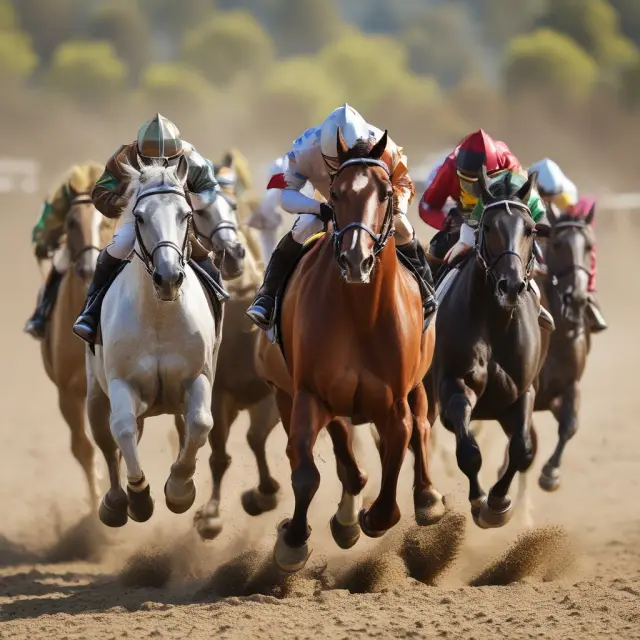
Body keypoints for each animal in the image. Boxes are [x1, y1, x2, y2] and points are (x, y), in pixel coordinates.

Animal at [86, 157, 222, 527]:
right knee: (107, 442)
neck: (159, 316)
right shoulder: (122, 382)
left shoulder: (198, 376)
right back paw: (115, 502)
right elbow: (122, 430)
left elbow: (201, 423)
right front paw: (140, 496)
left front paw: (179, 490)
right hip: (95, 393)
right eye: (140, 216)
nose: (169, 277)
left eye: (185, 214)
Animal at [257, 129, 444, 572]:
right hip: (284, 391)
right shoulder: (309, 394)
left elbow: (400, 446)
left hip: (418, 382)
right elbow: (306, 470)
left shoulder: (394, 400)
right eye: (336, 193)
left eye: (385, 192)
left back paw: (427, 497)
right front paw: (293, 540)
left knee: (421, 426)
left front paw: (374, 516)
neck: (360, 314)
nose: (356, 259)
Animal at [425, 167, 551, 529]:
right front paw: (481, 501)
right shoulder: (453, 386)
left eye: (531, 229)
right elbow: (468, 450)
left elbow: (522, 449)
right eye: (489, 227)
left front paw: (498, 501)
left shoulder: (522, 392)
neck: (496, 322)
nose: (511, 285)